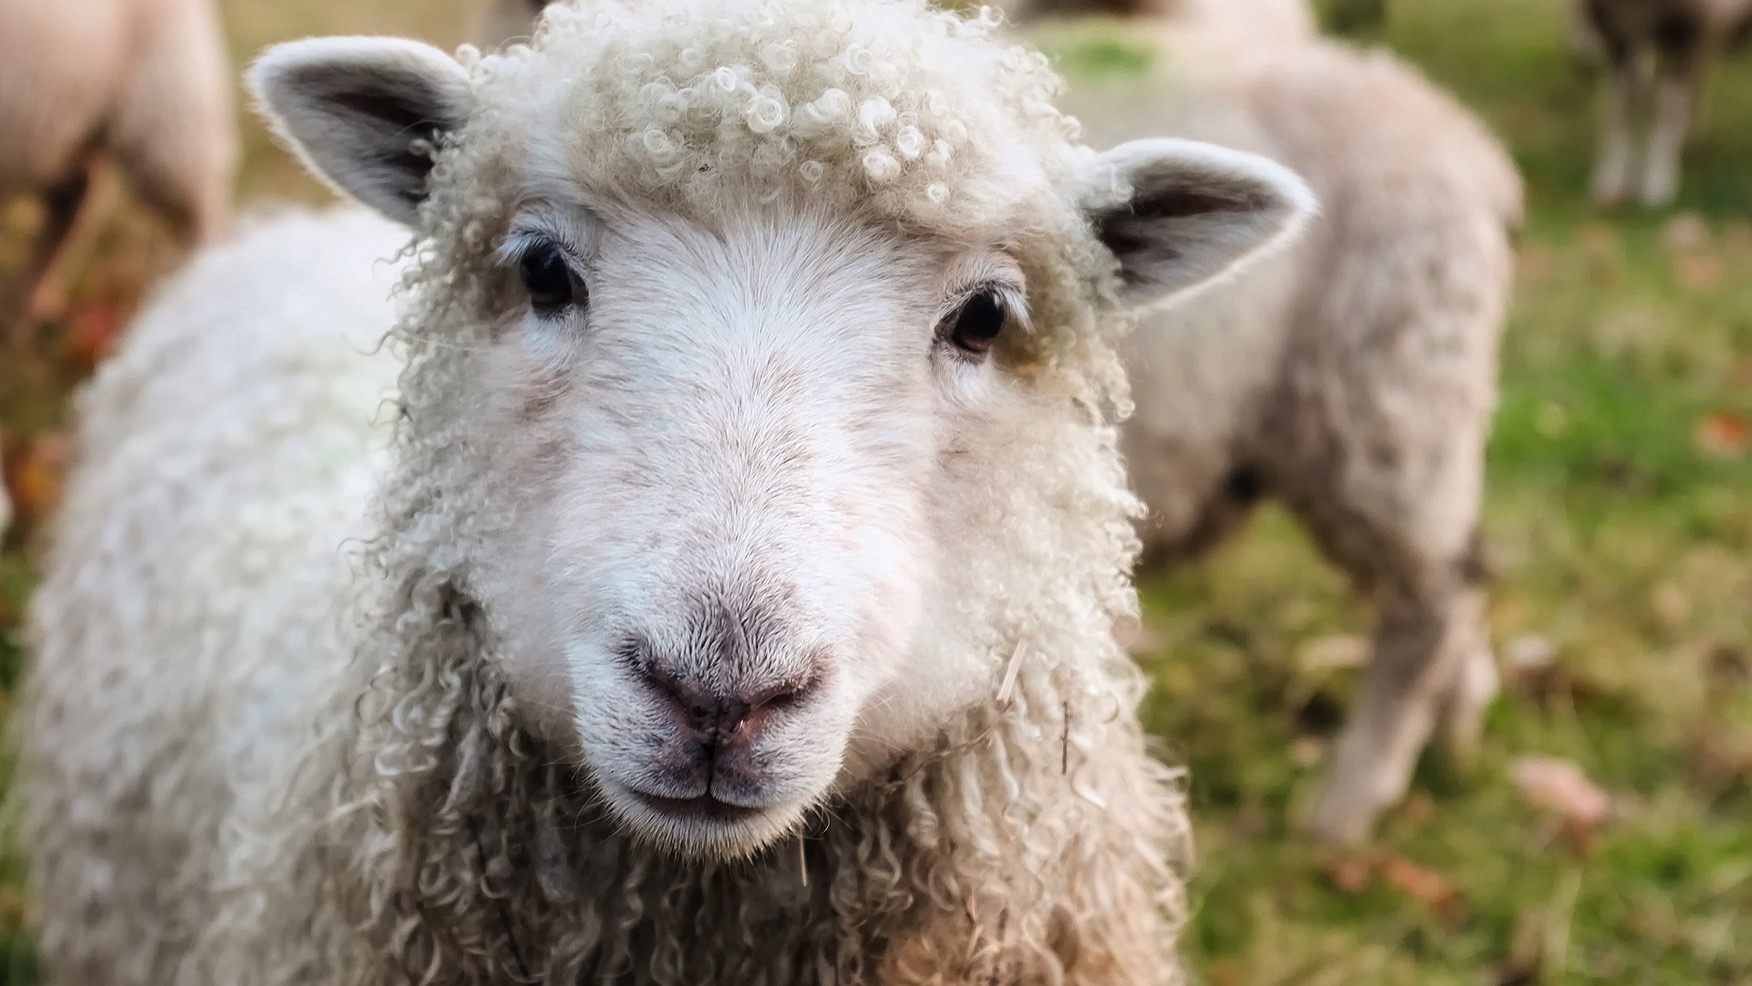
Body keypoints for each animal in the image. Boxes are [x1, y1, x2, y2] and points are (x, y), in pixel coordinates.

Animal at [1009, 1, 1527, 847]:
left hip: (1379, 398)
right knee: (1464, 569)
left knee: (1434, 601)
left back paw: (1348, 806)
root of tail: (1471, 147)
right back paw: (1457, 731)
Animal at [1576, 0, 1752, 206]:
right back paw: (1691, 137)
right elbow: (1620, 108)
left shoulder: (1687, 31)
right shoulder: (1615, 34)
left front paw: (1657, 183)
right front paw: (1612, 181)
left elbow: (1667, 109)